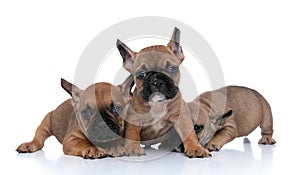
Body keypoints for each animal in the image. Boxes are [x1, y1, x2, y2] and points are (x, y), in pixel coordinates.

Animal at [116, 27, 211, 159]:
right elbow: (132, 134)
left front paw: (195, 148)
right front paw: (133, 148)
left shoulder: (181, 117)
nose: (157, 81)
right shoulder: (134, 119)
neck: (157, 104)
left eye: (172, 69)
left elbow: (189, 133)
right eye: (141, 74)